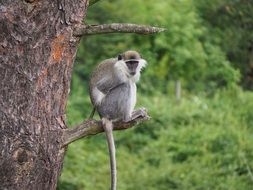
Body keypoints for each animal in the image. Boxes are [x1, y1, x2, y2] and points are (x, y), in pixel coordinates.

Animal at [88, 50, 146, 190]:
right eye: (129, 63)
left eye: (135, 63)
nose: (133, 70)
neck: (122, 67)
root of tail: (102, 115)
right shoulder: (118, 75)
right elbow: (102, 87)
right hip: (109, 107)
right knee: (126, 85)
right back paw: (127, 117)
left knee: (132, 84)